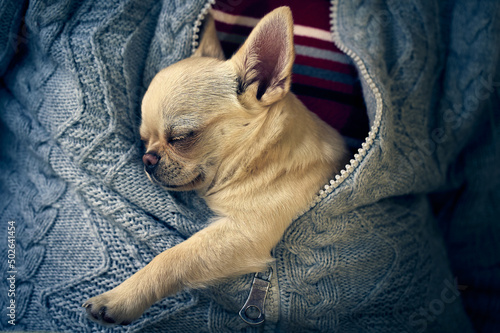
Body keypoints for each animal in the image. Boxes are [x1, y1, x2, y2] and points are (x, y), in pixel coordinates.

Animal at [83, 7, 348, 324]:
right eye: (144, 140)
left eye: (181, 137)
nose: (147, 159)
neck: (258, 159)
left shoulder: (242, 233)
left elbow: (173, 258)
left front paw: (119, 298)